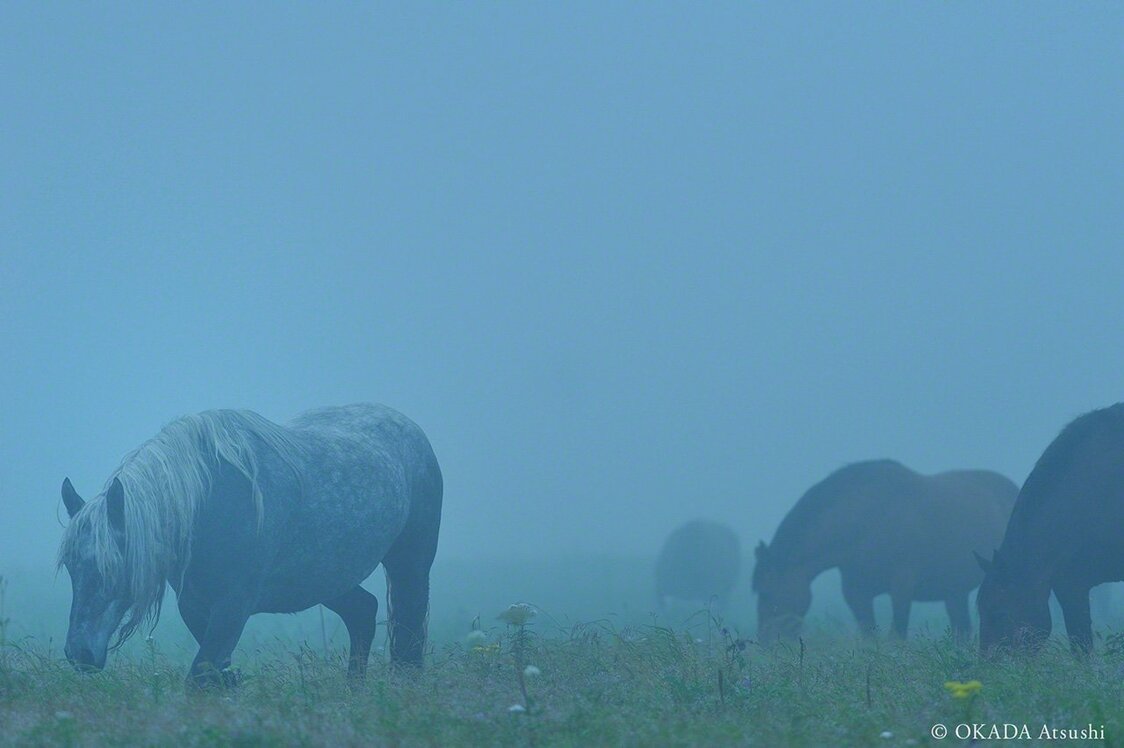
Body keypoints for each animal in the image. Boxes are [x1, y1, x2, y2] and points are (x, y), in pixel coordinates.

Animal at [57, 403, 442, 687]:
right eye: (72, 571)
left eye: (108, 571)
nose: (79, 655)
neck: (211, 502)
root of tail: (411, 430)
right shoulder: (195, 604)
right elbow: (214, 674)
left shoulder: (233, 605)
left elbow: (199, 679)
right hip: (324, 577)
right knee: (362, 611)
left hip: (409, 564)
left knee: (407, 633)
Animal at [753, 460, 1016, 643]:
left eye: (766, 593)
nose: (766, 642)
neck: (867, 523)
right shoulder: (856, 594)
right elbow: (870, 637)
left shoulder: (902, 587)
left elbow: (896, 636)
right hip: (954, 591)